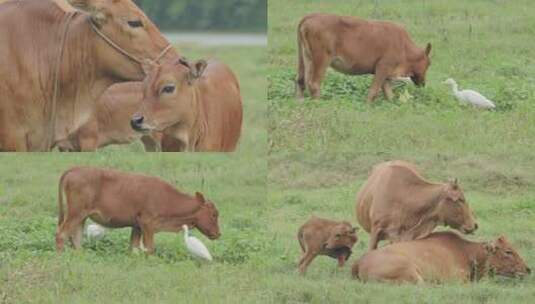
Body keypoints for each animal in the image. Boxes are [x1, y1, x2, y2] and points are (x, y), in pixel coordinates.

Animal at [55, 166, 220, 254]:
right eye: (214, 214)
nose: (218, 234)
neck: (165, 197)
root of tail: (75, 169)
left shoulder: (137, 226)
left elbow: (134, 248)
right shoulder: (148, 225)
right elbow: (150, 248)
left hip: (81, 218)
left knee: (76, 239)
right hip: (75, 215)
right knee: (62, 235)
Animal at [296, 13, 434, 102]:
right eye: (429, 63)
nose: (423, 83)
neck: (404, 46)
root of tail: (311, 16)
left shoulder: (386, 74)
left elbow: (389, 94)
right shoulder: (383, 67)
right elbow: (374, 91)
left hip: (305, 58)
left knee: (300, 81)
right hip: (321, 60)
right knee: (314, 83)